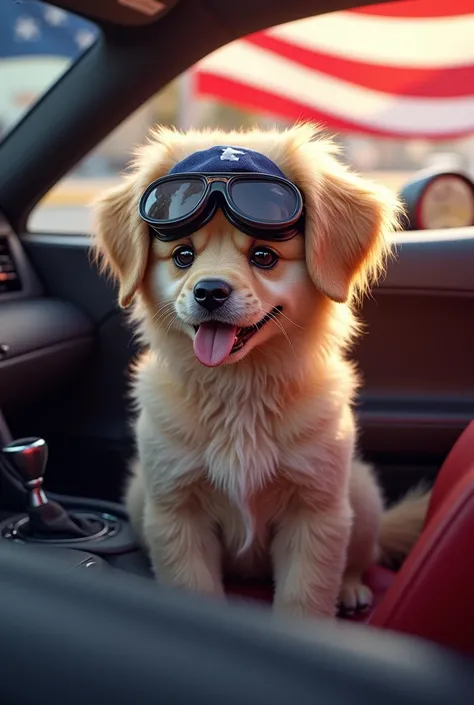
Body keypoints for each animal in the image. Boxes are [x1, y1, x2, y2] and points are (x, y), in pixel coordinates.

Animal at [91, 122, 430, 616]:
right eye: (183, 256)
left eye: (264, 256)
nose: (209, 292)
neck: (240, 389)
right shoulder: (175, 510)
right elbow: (193, 587)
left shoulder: (316, 511)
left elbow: (305, 598)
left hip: (360, 495)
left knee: (360, 555)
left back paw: (350, 588)